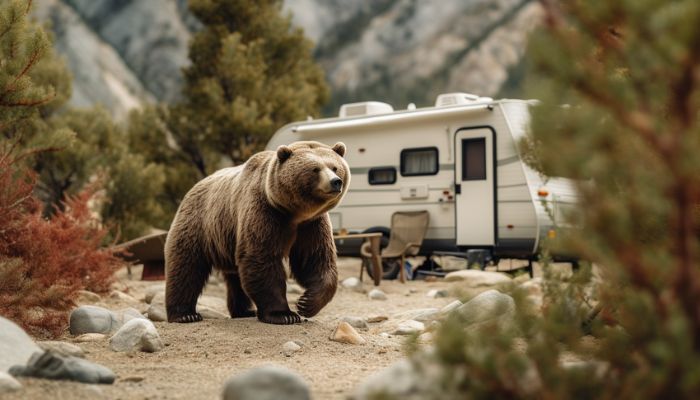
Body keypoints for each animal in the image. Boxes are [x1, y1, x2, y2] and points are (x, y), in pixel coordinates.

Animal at [165, 141, 350, 324]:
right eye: (315, 169)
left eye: (334, 167)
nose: (336, 182)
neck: (293, 213)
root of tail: (193, 188)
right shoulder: (265, 212)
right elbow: (261, 257)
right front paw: (284, 314)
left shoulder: (311, 224)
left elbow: (314, 259)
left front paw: (306, 303)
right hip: (199, 225)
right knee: (186, 267)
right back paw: (185, 314)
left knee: (235, 278)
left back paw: (244, 311)